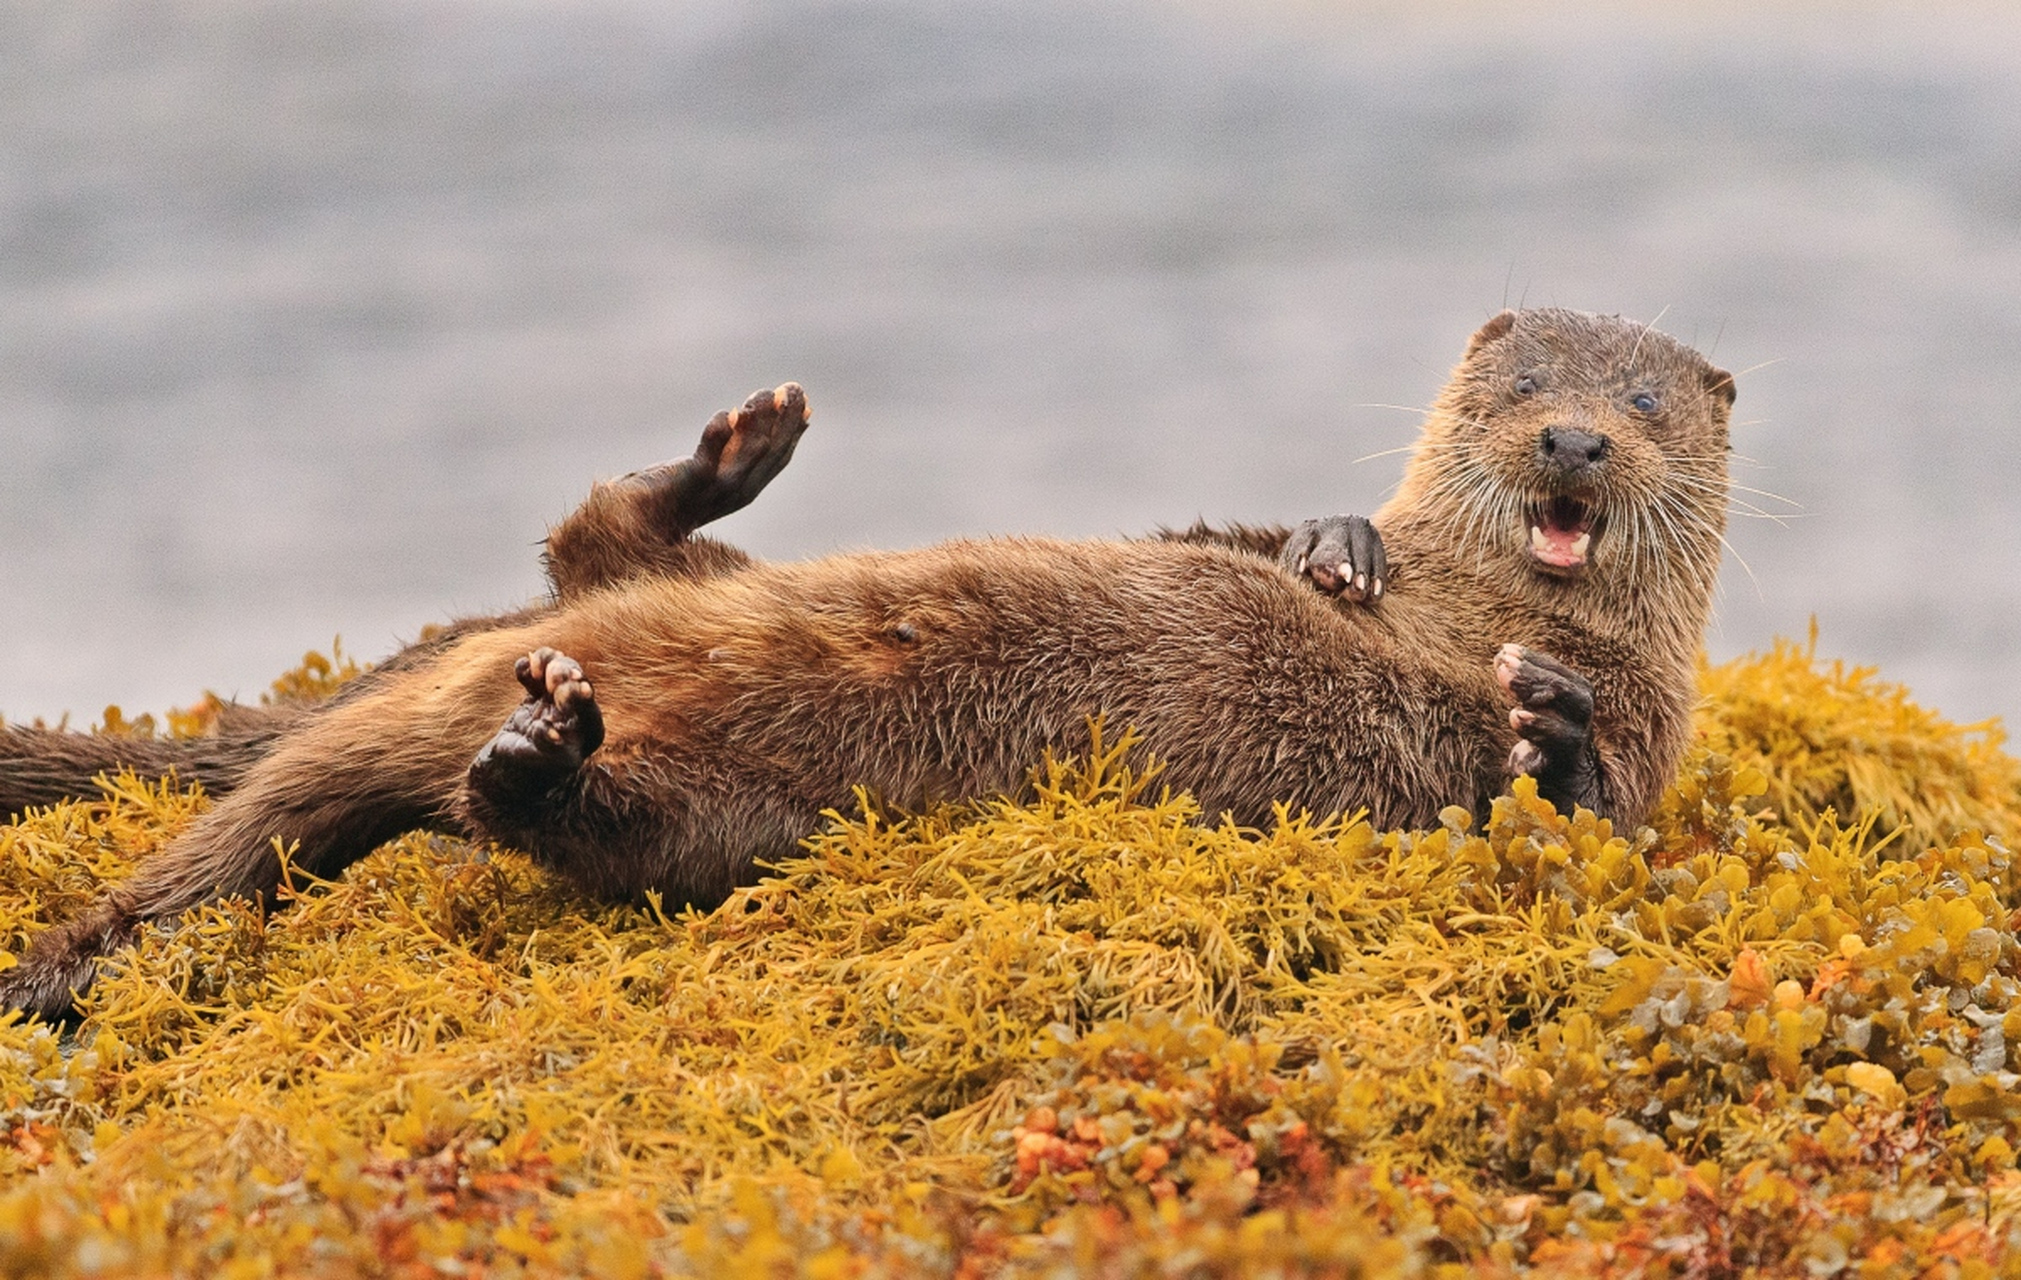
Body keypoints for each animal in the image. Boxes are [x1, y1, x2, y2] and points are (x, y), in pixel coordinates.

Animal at [0, 309, 1738, 1019]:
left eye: (1645, 403)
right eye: (1523, 382)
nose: (1574, 437)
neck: (1473, 600)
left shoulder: (1652, 734)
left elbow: (1594, 806)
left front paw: (1549, 720)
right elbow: (1242, 531)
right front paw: (1335, 540)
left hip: (732, 809)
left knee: (578, 813)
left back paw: (538, 761)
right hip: (639, 605)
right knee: (591, 536)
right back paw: (731, 453)